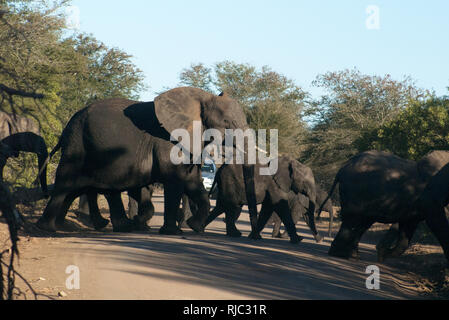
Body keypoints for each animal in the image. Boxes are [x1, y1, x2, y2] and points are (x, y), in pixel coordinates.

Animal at [36, 87, 258, 235]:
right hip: (78, 143)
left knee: (92, 187)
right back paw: (49, 229)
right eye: (227, 123)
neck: (202, 98)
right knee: (67, 181)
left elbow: (193, 182)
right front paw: (169, 232)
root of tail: (67, 125)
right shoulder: (168, 141)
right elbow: (174, 180)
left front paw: (194, 227)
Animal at [320, 149, 448, 260]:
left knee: (361, 223)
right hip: (356, 191)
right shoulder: (430, 197)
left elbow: (408, 226)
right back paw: (342, 255)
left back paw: (351, 255)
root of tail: (343, 167)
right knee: (353, 220)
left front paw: (382, 253)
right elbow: (436, 221)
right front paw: (382, 253)